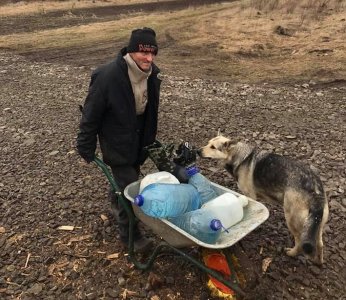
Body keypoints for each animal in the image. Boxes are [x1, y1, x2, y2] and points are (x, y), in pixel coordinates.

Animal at [197, 135, 330, 264]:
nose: (197, 151)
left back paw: (291, 253)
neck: (238, 155)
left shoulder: (250, 195)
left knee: (300, 242)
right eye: (208, 143)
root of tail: (315, 190)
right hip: (316, 224)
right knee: (320, 244)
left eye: (213, 147)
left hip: (292, 219)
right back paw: (319, 261)